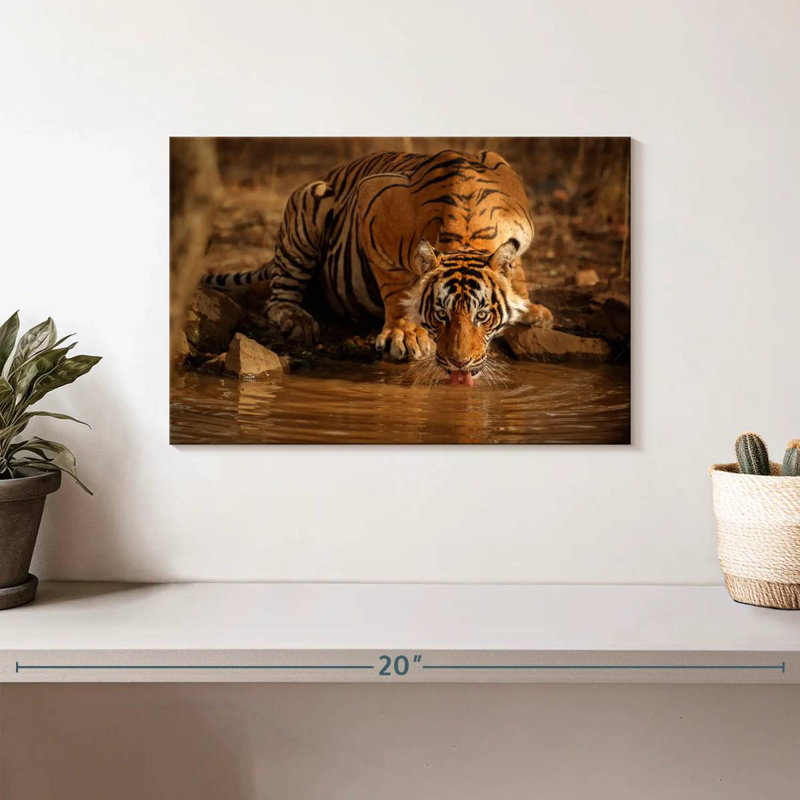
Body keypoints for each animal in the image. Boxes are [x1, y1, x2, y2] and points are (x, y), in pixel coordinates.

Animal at [204, 149, 553, 384]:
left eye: (482, 316)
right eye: (440, 315)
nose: (459, 364)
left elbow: (516, 269)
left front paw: (529, 309)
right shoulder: (372, 206)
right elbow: (395, 286)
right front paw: (404, 335)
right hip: (308, 205)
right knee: (278, 298)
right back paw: (297, 320)